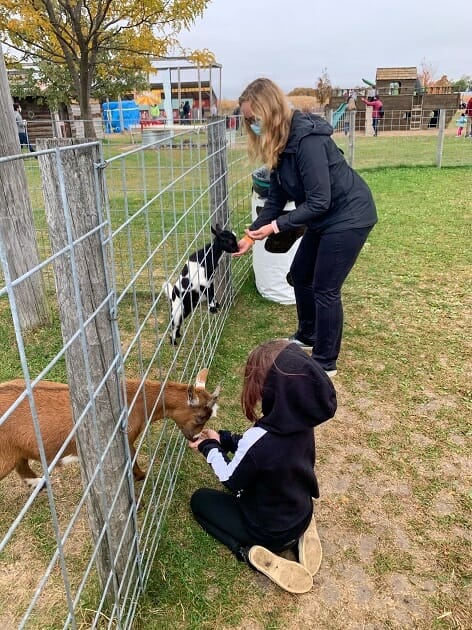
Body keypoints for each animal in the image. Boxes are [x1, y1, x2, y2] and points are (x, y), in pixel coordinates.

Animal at [0, 370, 219, 488]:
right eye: (200, 417)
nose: (195, 438)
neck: (134, 401)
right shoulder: (124, 438)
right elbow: (132, 459)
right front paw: (140, 479)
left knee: (22, 464)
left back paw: (39, 484)